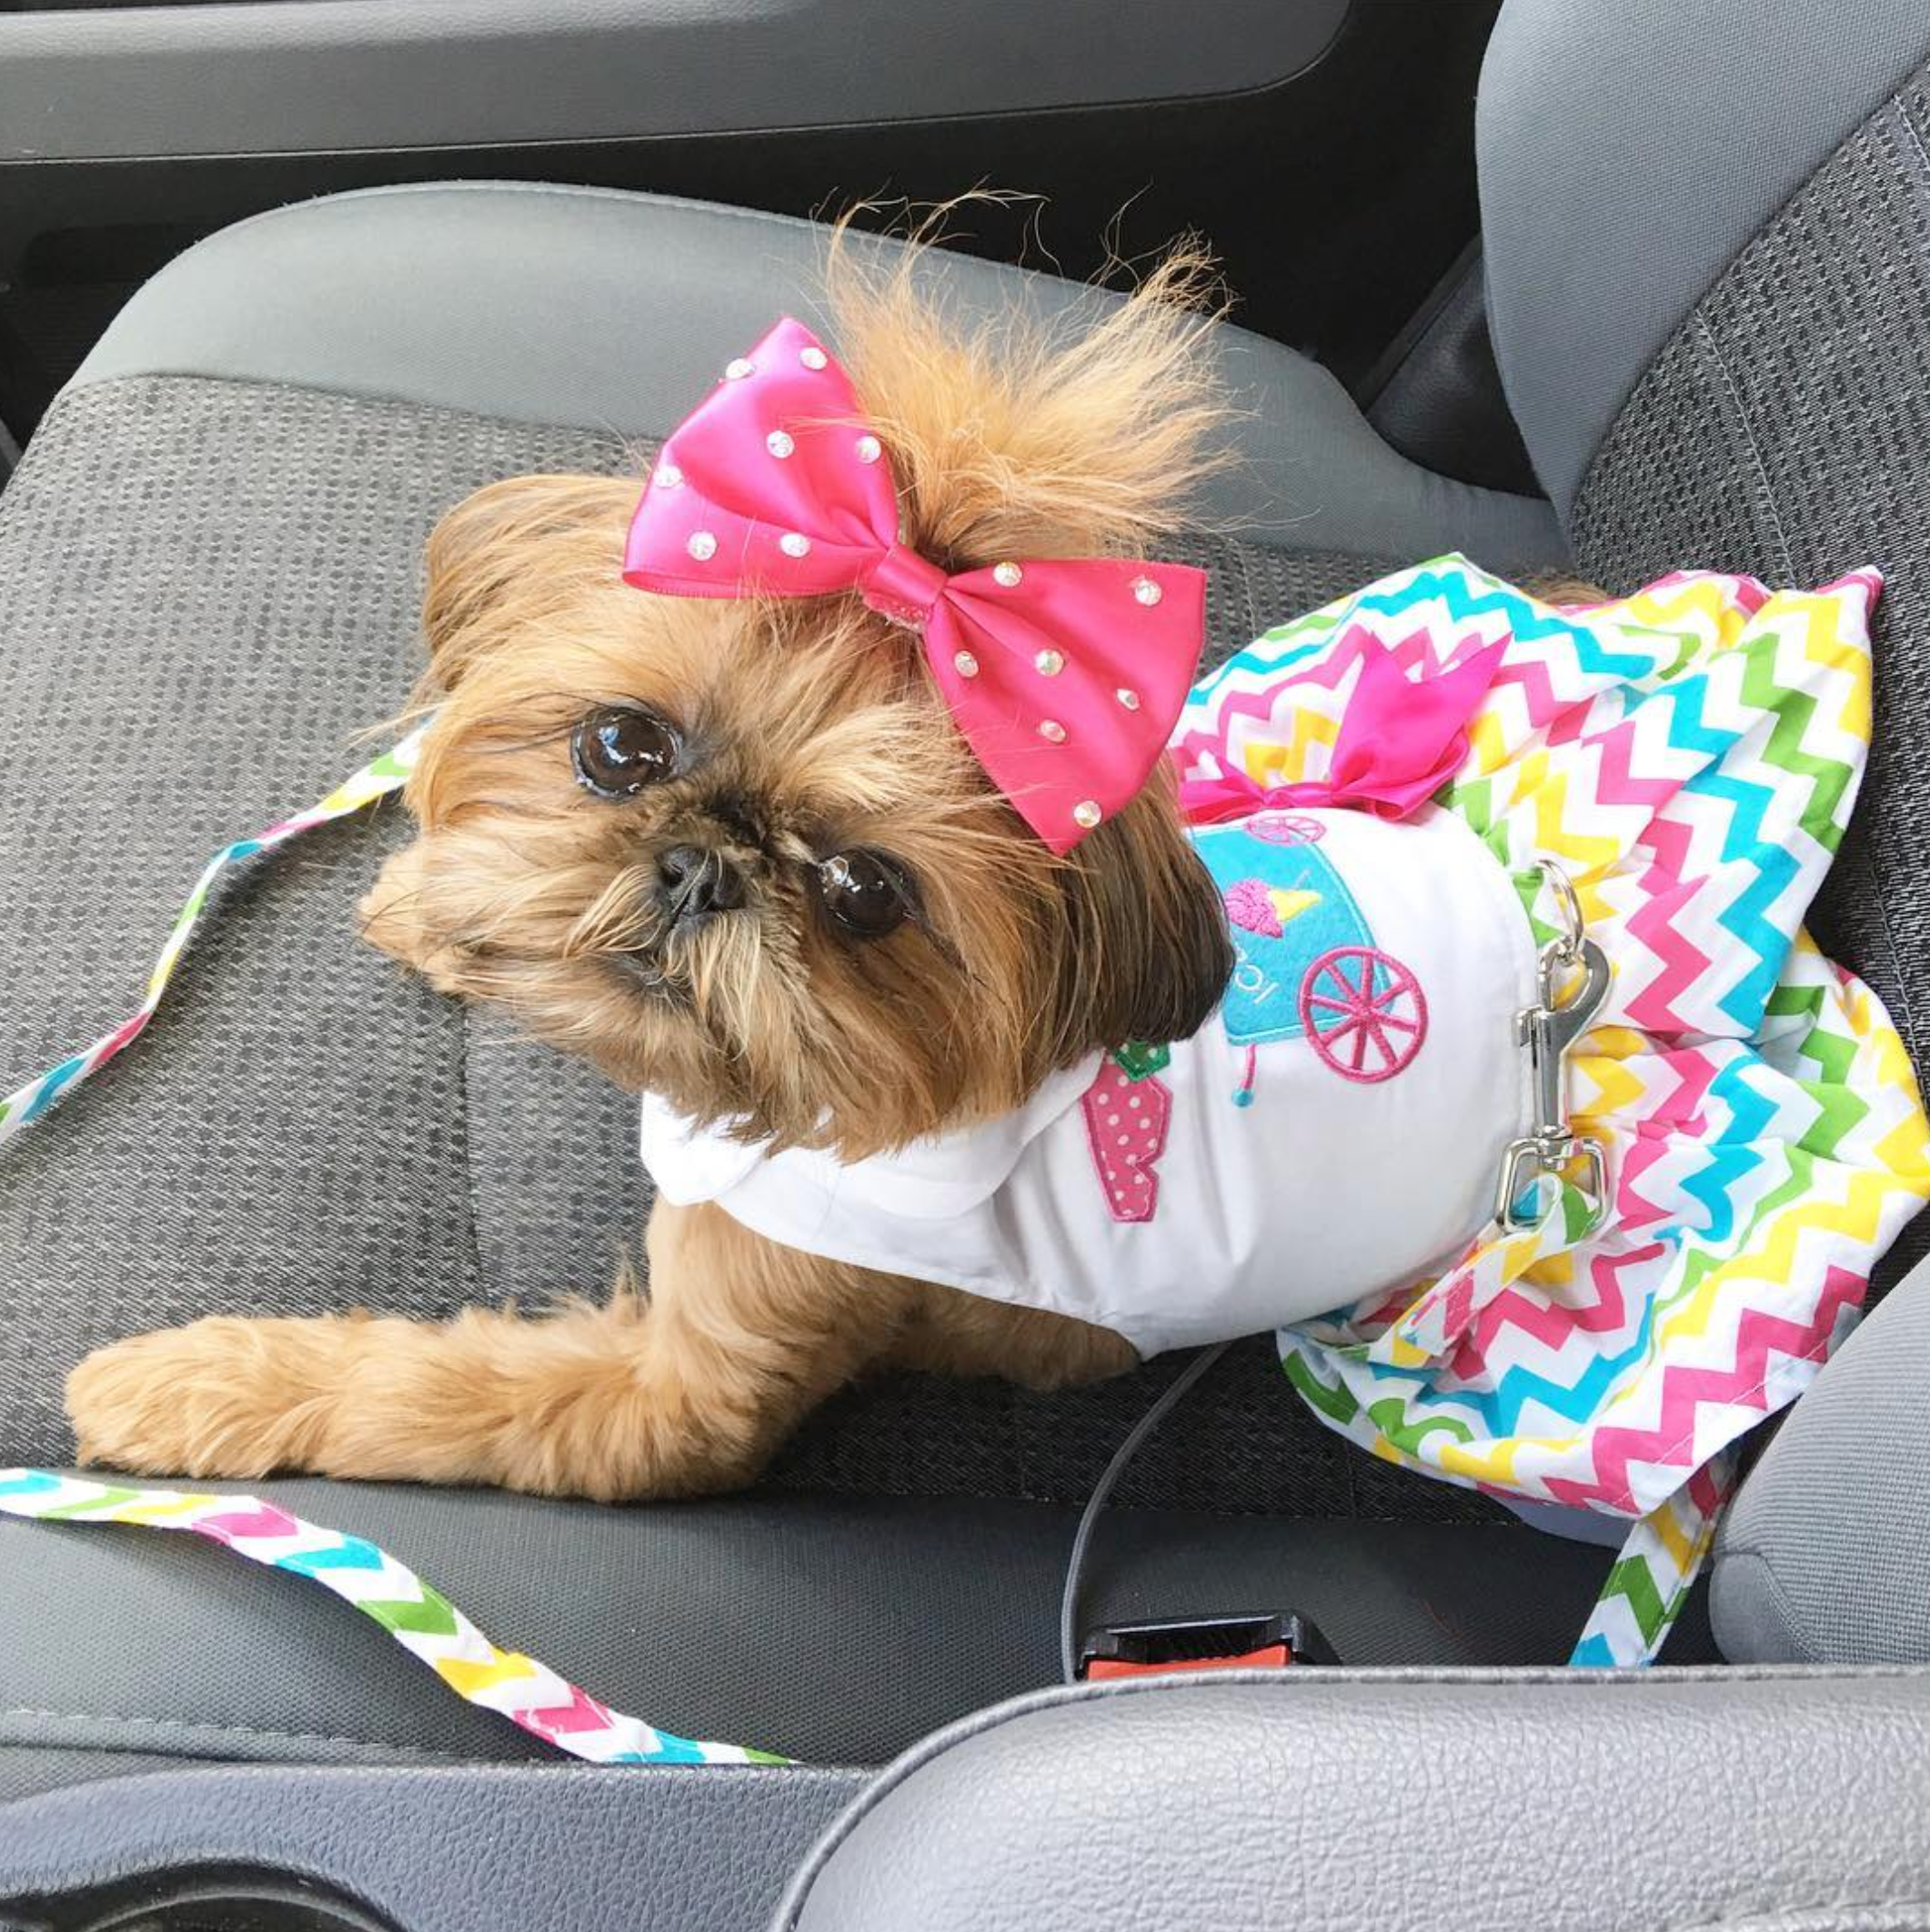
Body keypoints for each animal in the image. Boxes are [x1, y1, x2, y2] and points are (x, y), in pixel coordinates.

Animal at [67, 241, 1236, 1499]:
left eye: (864, 892)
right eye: (621, 747)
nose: (700, 870)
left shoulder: (675, 1393)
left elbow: (418, 1390)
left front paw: (198, 1385)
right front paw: (440, 908)